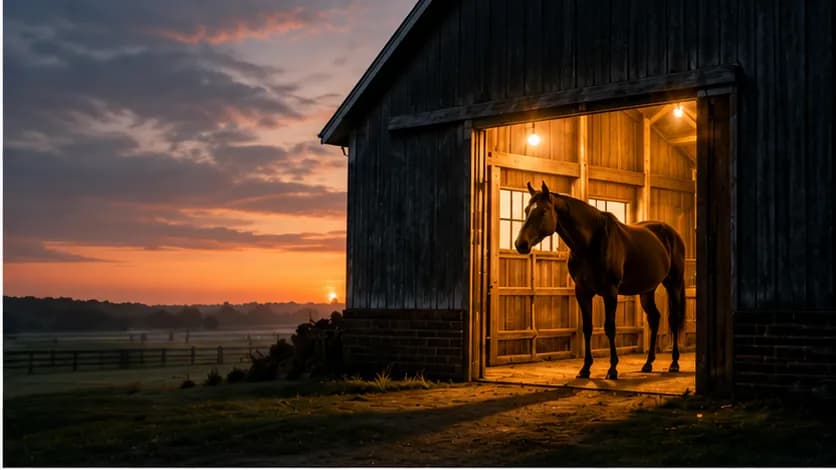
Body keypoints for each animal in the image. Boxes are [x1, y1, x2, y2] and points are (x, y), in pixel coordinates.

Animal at [514, 181, 686, 380]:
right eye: (526, 210)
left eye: (543, 211)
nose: (520, 244)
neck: (591, 241)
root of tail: (672, 233)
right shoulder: (582, 292)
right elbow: (587, 328)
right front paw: (585, 368)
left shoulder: (610, 291)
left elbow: (609, 327)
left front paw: (612, 369)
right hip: (646, 290)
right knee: (654, 318)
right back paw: (648, 363)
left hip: (673, 284)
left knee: (673, 319)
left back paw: (674, 363)